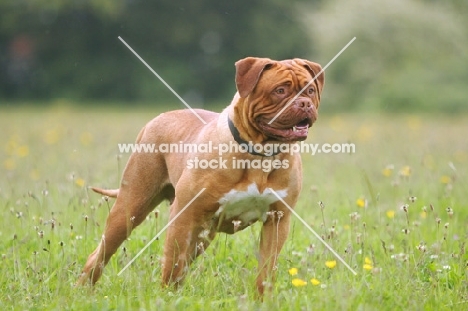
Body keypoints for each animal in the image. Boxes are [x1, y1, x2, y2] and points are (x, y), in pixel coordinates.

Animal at [77, 57, 326, 296]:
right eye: (280, 90)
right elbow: (172, 264)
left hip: (202, 234)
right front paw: (165, 299)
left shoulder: (277, 221)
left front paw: (263, 301)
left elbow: (266, 271)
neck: (260, 154)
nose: (305, 103)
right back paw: (83, 289)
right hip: (130, 208)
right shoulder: (183, 216)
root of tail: (159, 117)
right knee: (101, 254)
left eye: (310, 90)